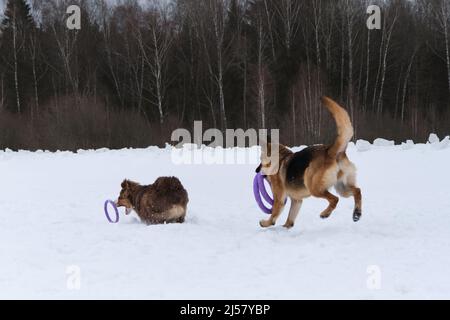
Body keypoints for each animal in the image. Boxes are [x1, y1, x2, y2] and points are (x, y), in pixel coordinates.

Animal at [256, 96, 362, 229]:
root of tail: (330, 151)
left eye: (260, 159)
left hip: (314, 187)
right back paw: (357, 213)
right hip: (342, 187)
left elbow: (274, 214)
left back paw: (325, 213)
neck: (280, 159)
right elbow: (290, 219)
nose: (256, 170)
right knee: (357, 191)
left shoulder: (279, 198)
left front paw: (266, 223)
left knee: (335, 199)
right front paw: (285, 227)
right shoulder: (296, 200)